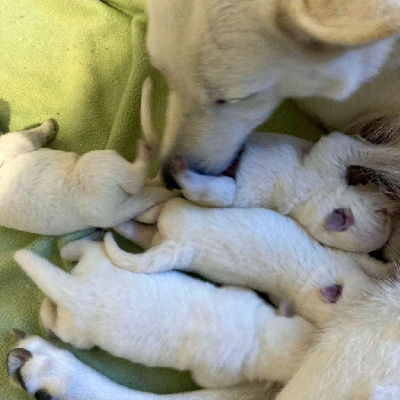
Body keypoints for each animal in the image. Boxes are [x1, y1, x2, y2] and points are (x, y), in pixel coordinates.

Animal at [0, 120, 173, 236]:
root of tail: (109, 213)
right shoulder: (15, 141)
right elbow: (31, 135)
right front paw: (46, 127)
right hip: (100, 163)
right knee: (137, 181)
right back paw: (145, 153)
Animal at [7, 238, 316, 396]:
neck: (260, 335)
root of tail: (75, 288)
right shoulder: (215, 375)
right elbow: (211, 382)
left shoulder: (242, 296)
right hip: (77, 331)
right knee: (56, 321)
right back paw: (46, 313)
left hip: (100, 264)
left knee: (90, 248)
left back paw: (70, 246)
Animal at [103, 198, 394, 326]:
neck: (310, 284)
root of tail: (178, 245)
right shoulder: (341, 257)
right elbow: (370, 262)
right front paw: (391, 268)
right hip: (178, 210)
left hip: (157, 235)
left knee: (142, 224)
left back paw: (117, 224)